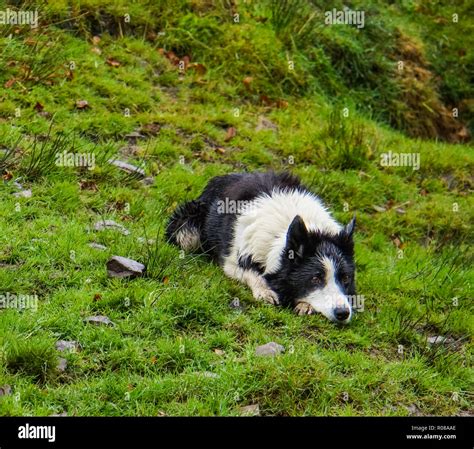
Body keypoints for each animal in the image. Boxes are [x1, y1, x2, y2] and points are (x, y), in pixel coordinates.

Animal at [167, 171, 356, 322]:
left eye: (346, 278)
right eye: (316, 278)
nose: (343, 314)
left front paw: (305, 304)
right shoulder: (232, 261)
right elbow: (252, 273)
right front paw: (265, 291)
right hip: (187, 230)